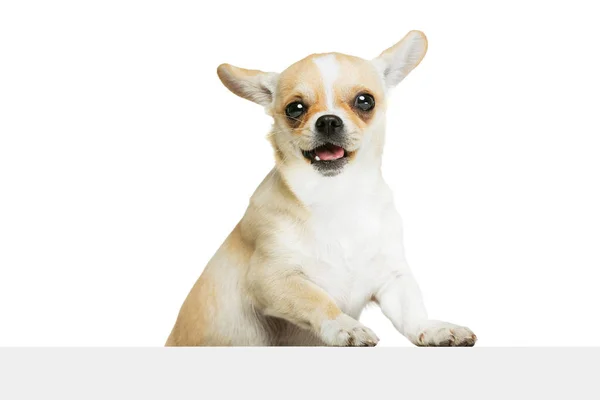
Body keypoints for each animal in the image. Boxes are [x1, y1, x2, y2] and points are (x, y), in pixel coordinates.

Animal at [165, 29, 478, 346]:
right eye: (295, 108)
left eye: (365, 101)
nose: (328, 120)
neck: (337, 196)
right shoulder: (271, 278)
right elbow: (317, 299)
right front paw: (344, 326)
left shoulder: (392, 277)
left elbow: (411, 312)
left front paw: (433, 328)